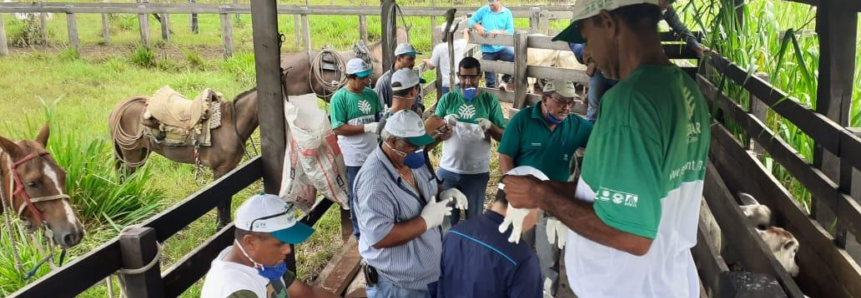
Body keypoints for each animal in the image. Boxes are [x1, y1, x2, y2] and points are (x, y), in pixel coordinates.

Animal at [107, 88, 256, 226]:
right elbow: (222, 200)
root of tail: (117, 109)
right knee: (126, 179)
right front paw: (220, 226)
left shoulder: (231, 169)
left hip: (140, 154)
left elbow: (229, 197)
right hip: (131, 155)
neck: (230, 124)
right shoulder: (220, 170)